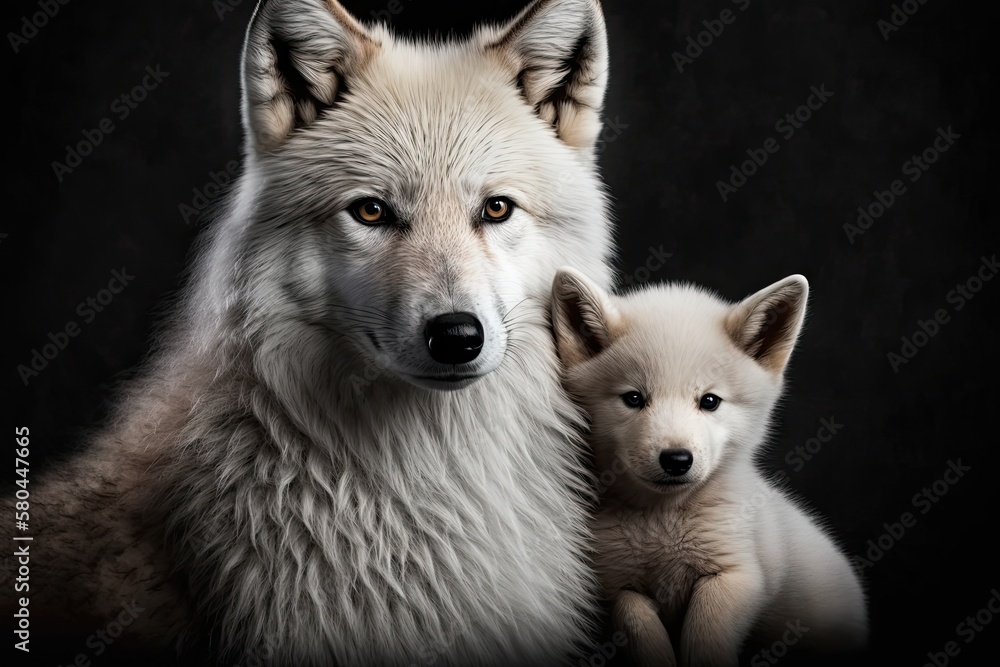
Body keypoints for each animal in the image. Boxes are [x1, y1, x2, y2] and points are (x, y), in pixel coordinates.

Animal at [548, 268, 868, 664]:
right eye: (634, 398)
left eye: (710, 401)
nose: (676, 459)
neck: (663, 521)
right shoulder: (619, 589)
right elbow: (643, 634)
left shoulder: (736, 575)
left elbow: (704, 639)